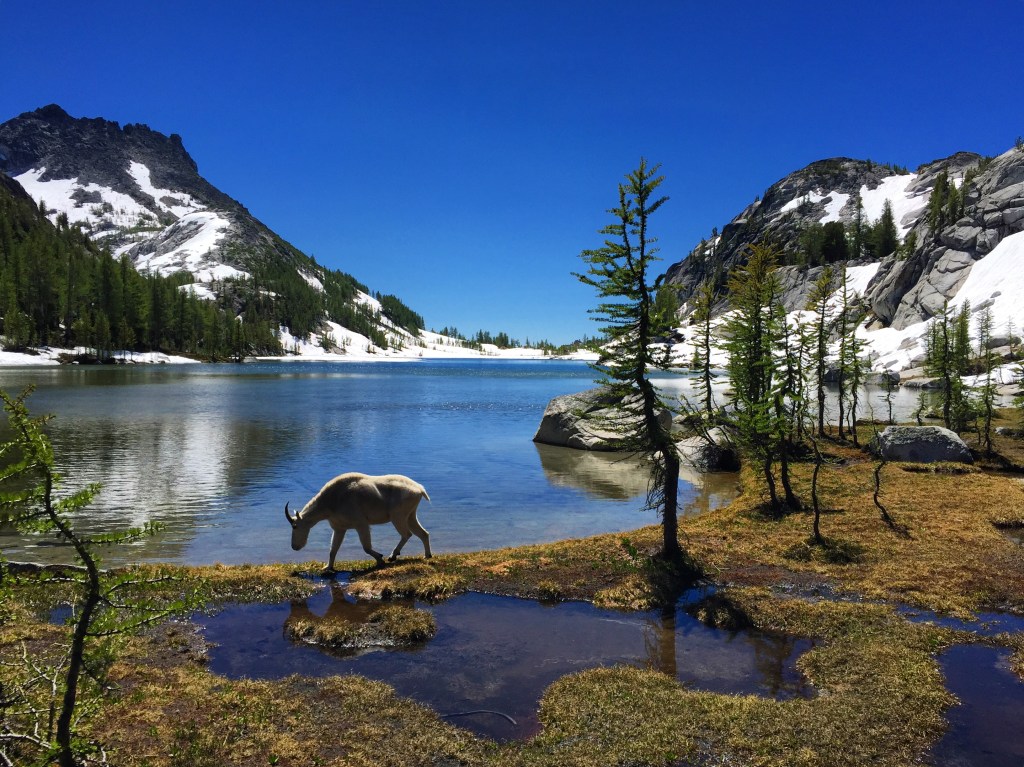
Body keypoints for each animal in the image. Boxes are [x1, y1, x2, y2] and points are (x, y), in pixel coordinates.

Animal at [285, 472, 431, 570]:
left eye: (295, 526)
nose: (294, 546)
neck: (331, 502)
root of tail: (420, 489)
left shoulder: (361, 523)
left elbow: (366, 547)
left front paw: (380, 559)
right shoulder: (339, 528)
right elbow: (333, 549)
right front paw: (327, 567)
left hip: (398, 515)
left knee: (407, 534)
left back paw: (393, 555)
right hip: (410, 514)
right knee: (423, 533)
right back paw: (427, 555)